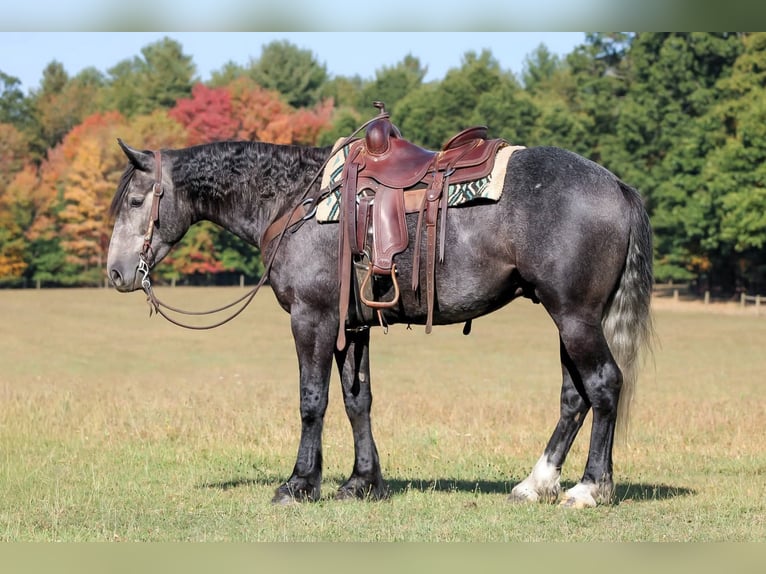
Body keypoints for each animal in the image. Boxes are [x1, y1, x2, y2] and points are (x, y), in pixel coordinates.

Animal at [106, 129, 654, 508]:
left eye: (135, 201)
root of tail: (616, 184)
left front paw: (299, 484)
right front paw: (361, 483)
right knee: (573, 396)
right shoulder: (351, 327)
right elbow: (358, 402)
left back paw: (589, 488)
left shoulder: (312, 319)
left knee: (603, 385)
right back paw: (536, 483)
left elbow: (312, 401)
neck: (294, 200)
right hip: (569, 317)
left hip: (575, 316)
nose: (115, 272)